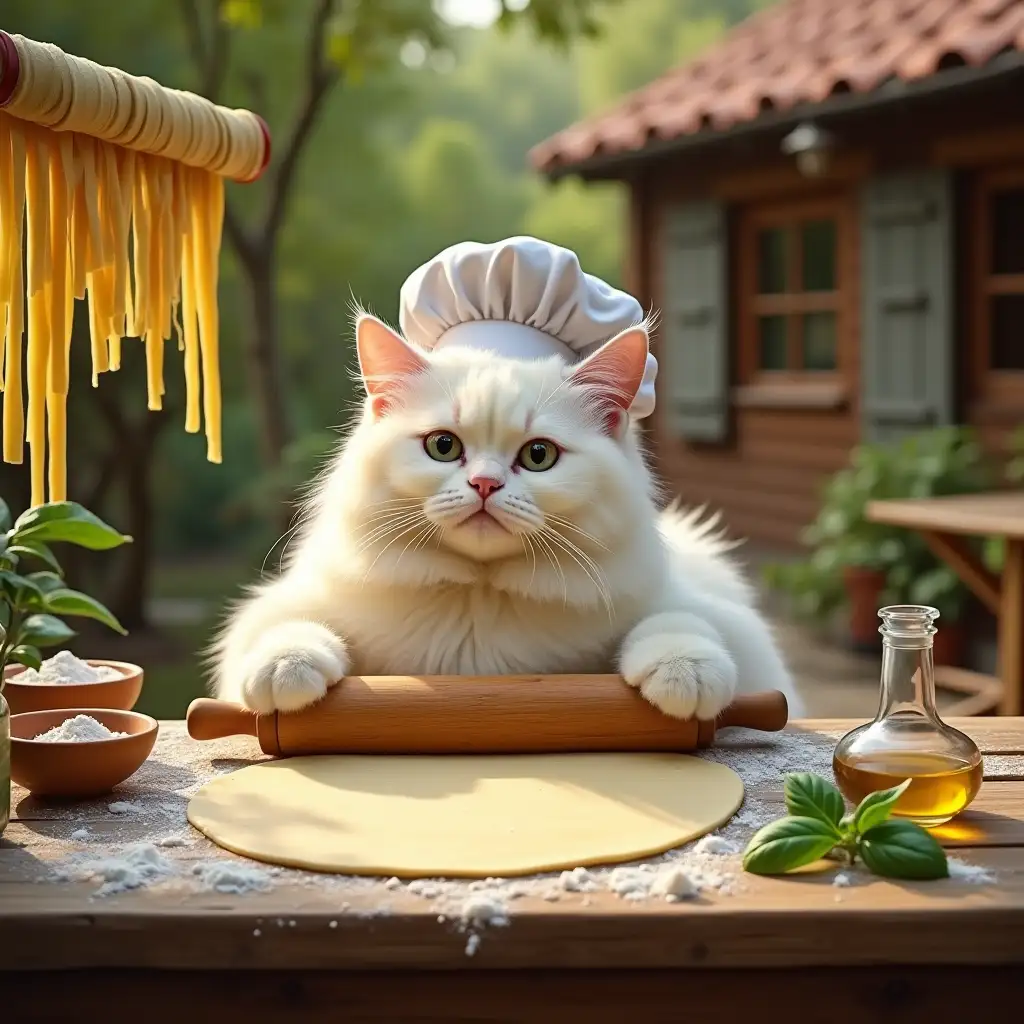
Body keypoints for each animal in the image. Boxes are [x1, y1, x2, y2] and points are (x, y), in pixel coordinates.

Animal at [211, 313, 802, 720]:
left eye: (538, 456)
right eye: (443, 446)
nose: (485, 485)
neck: (480, 600)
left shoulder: (710, 617)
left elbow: (678, 622)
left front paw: (685, 673)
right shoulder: (285, 602)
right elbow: (286, 626)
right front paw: (286, 669)